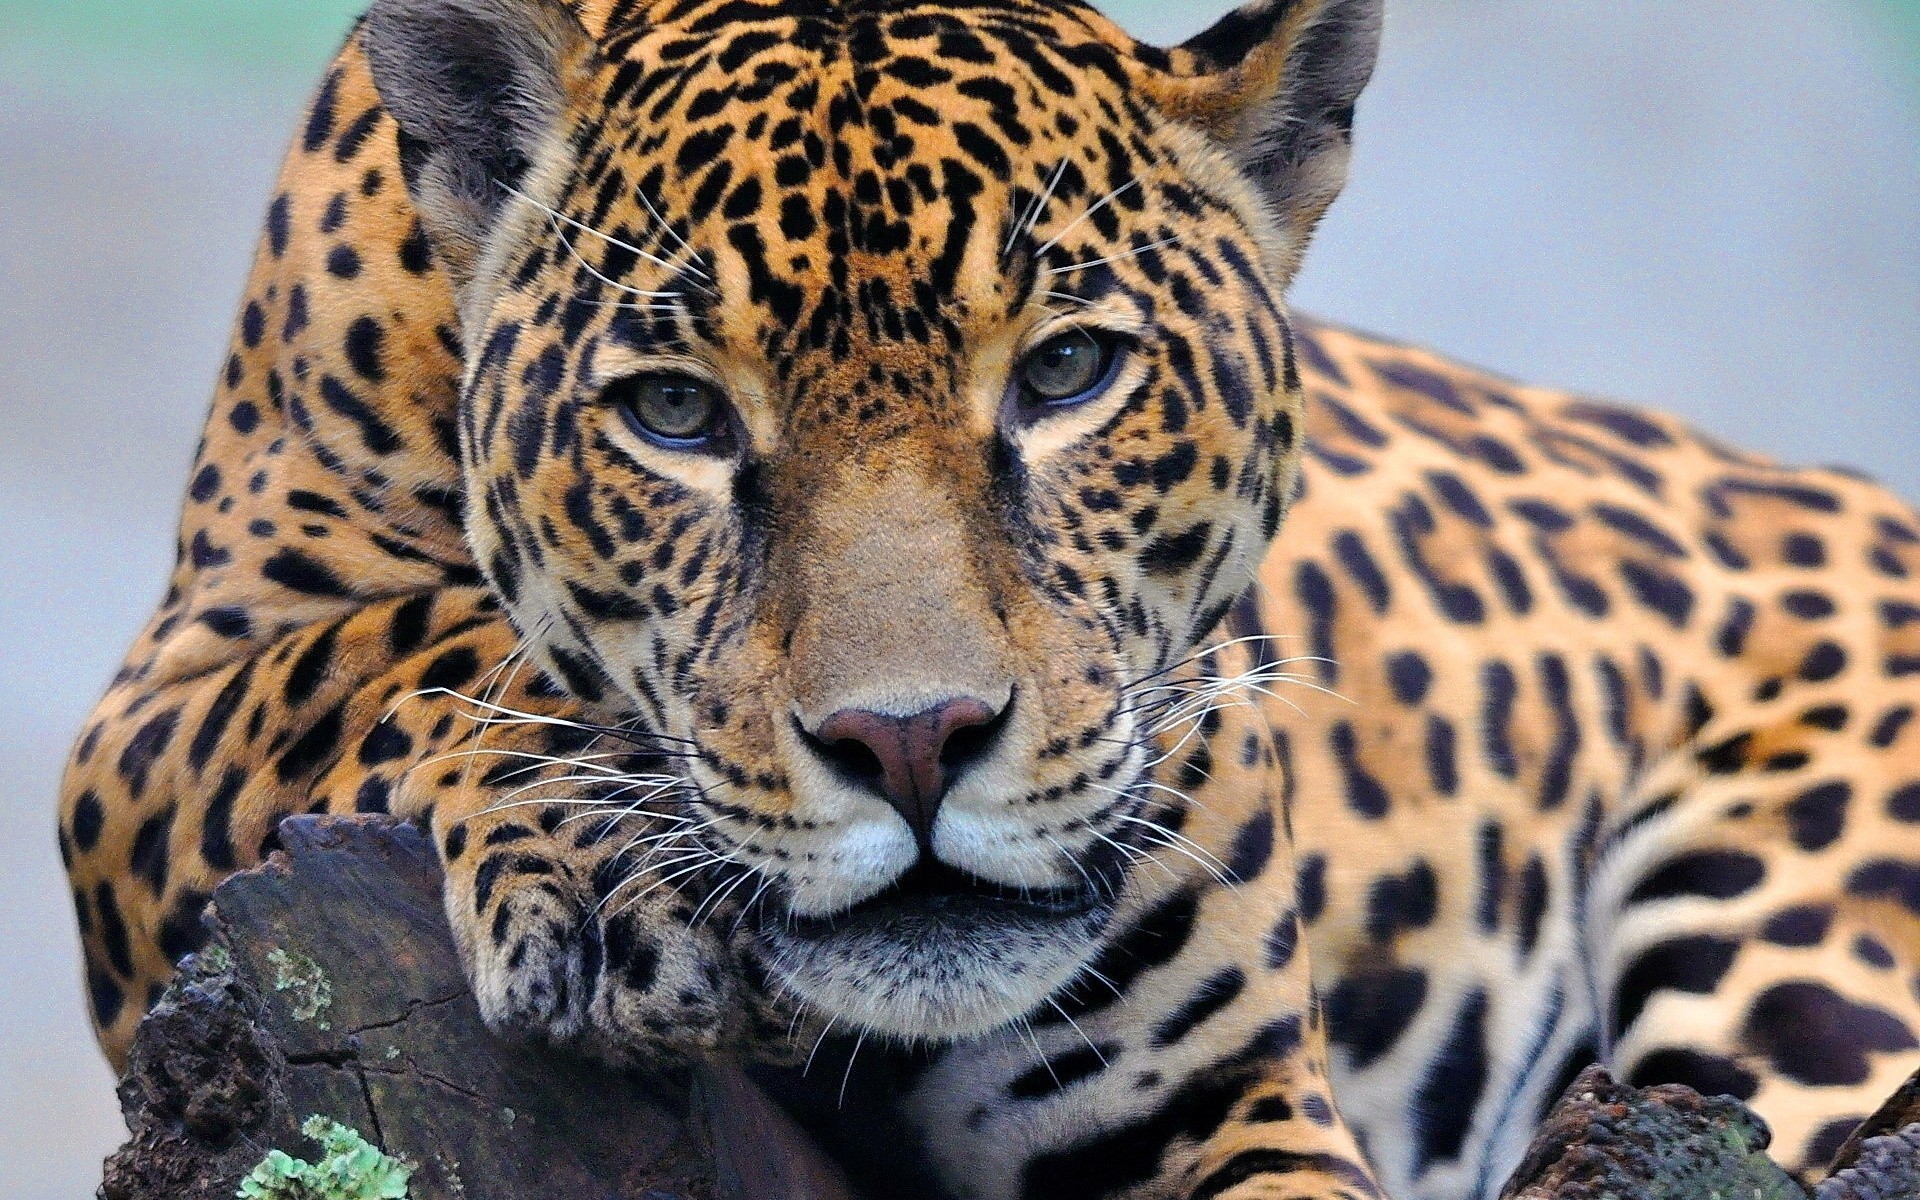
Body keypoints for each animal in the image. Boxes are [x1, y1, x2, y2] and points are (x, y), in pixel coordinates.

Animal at [57, 1, 1920, 1198]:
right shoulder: (149, 719)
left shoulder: (1219, 1101)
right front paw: (605, 869)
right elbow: (403, 645)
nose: (914, 742)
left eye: (1069, 375)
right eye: (674, 414)